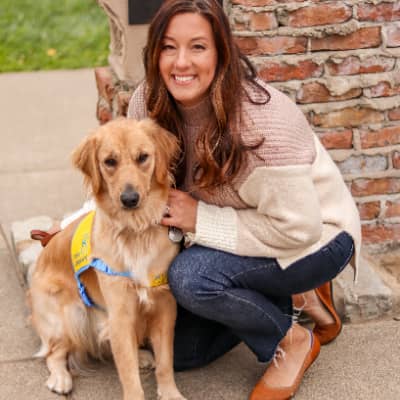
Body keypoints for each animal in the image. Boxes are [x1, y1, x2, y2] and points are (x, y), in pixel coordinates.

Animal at [28, 118, 186, 400]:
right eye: (110, 162)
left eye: (143, 157)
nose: (130, 199)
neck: (135, 229)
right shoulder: (120, 314)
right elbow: (128, 373)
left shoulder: (164, 306)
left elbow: (165, 360)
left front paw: (169, 392)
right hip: (71, 313)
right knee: (54, 353)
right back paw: (60, 378)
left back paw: (142, 355)